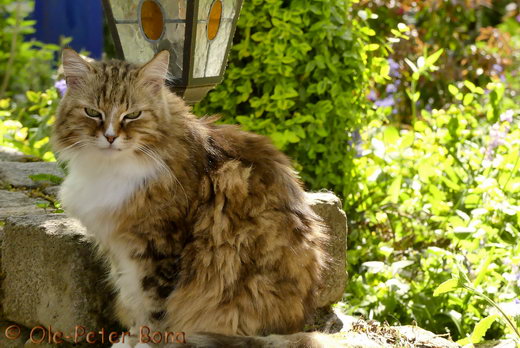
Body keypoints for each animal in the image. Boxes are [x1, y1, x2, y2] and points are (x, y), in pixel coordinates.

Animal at [54, 49, 340, 348]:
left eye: (132, 115)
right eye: (92, 112)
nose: (110, 137)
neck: (109, 168)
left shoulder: (159, 247)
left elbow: (152, 308)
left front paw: (145, 342)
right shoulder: (121, 251)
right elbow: (133, 300)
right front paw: (129, 339)